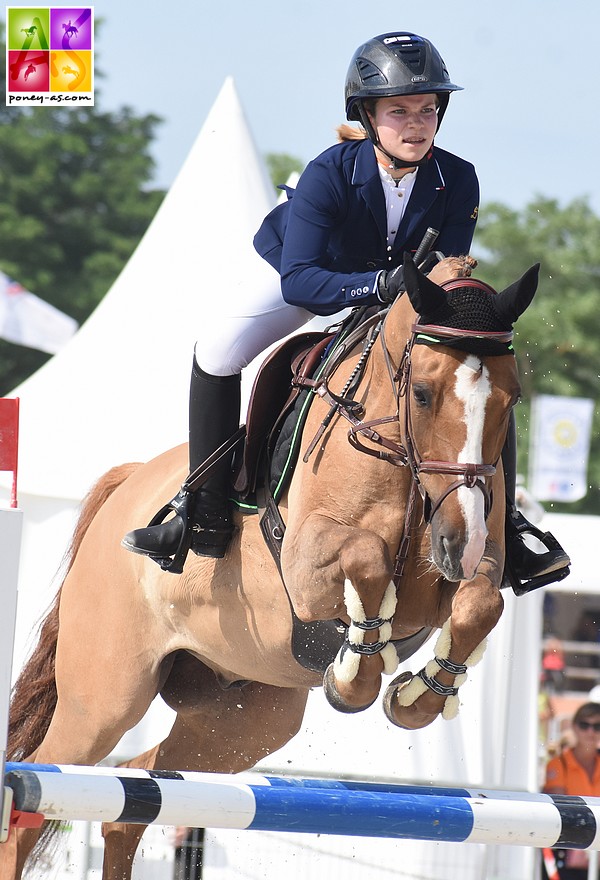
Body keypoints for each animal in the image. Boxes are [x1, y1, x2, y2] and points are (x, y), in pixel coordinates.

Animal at [2, 258, 540, 876]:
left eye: (512, 400)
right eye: (423, 394)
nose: (458, 541)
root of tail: (129, 484)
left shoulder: (468, 570)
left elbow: (481, 602)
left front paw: (415, 698)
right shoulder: (307, 569)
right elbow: (366, 560)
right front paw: (353, 678)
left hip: (242, 720)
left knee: (136, 793)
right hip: (103, 700)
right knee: (36, 799)